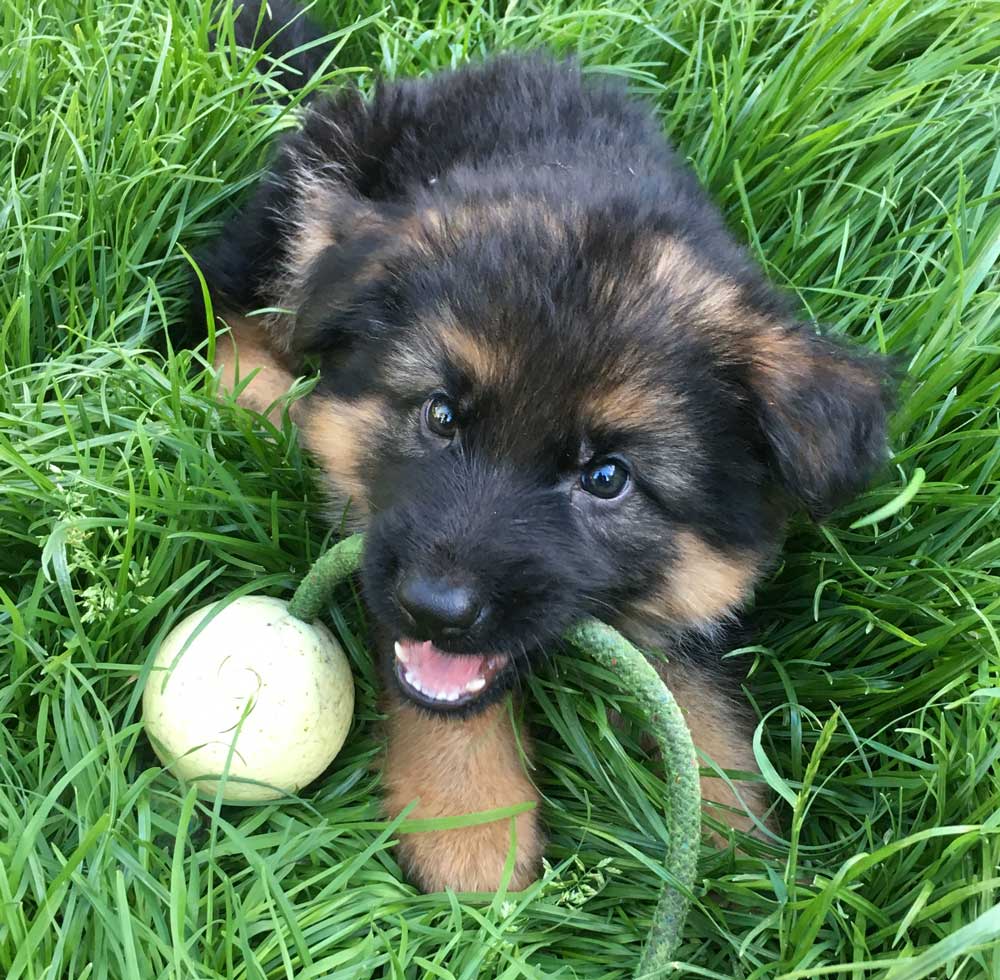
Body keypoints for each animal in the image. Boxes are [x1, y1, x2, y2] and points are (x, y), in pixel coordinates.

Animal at [197, 0, 892, 892]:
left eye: (607, 477)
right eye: (442, 417)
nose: (437, 605)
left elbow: (703, 697)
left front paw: (736, 846)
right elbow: (436, 685)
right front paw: (470, 824)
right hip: (311, 191)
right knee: (225, 299)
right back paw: (256, 397)